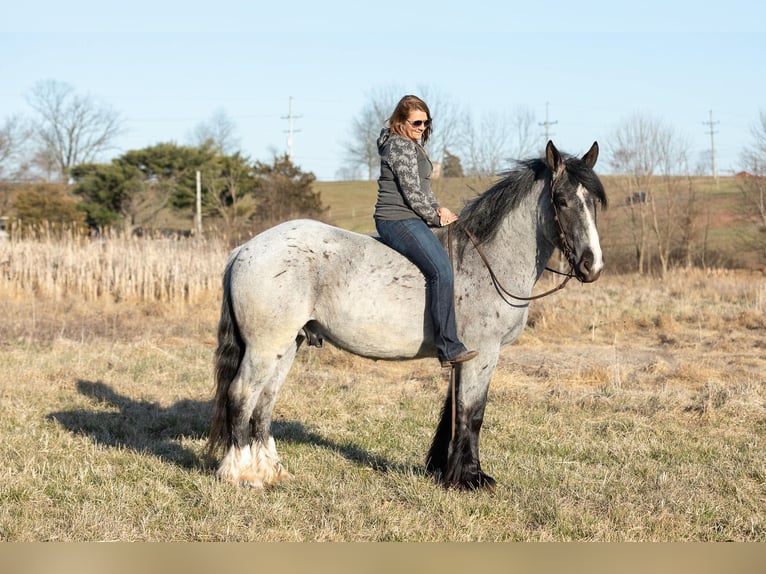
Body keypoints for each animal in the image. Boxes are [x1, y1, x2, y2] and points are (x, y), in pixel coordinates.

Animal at [207, 140, 608, 490]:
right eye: (561, 200)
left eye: (594, 203)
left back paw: (271, 472)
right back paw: (241, 474)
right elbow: (472, 413)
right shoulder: (484, 354)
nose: (593, 266)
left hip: (287, 345)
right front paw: (471, 479)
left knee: (264, 401)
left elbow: (453, 412)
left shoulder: (465, 357)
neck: (488, 260)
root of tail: (246, 248)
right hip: (265, 347)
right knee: (242, 395)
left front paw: (446, 470)